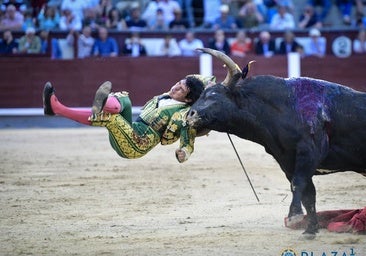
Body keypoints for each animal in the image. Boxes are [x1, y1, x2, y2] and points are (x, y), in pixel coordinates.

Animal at [187, 48, 364, 238]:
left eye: (212, 95)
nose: (189, 115)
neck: (284, 108)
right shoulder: (286, 160)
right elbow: (308, 193)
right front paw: (310, 229)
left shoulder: (311, 150)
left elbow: (298, 183)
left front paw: (294, 216)